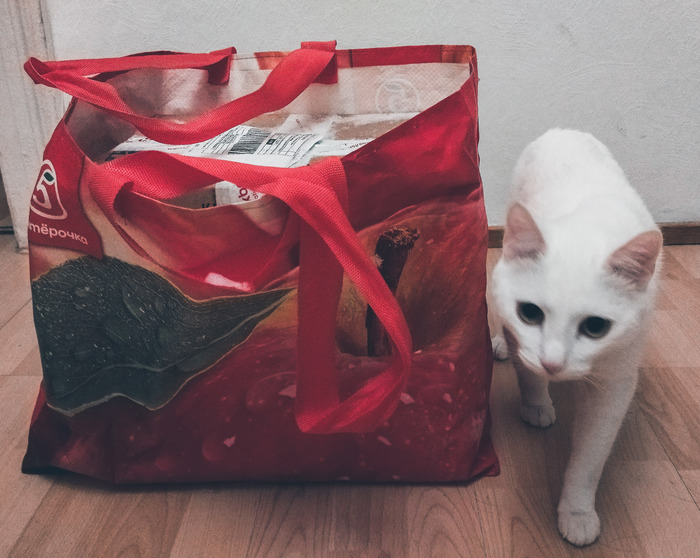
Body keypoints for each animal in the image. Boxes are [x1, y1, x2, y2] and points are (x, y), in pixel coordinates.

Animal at [490, 128, 662, 546]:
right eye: (530, 313)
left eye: (595, 328)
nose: (553, 362)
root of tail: (564, 130)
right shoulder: (520, 332)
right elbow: (527, 370)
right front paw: (536, 404)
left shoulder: (615, 385)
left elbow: (589, 459)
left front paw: (577, 512)